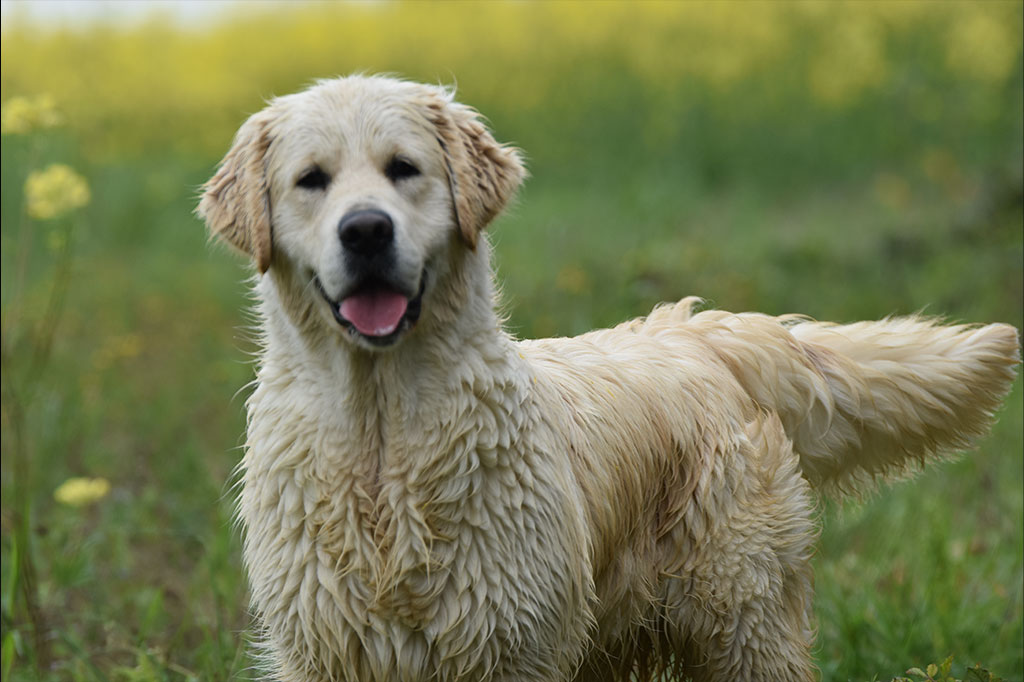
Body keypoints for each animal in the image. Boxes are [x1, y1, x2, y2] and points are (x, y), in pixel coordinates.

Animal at [195, 75, 1019, 679]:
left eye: (404, 169)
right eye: (311, 180)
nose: (365, 229)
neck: (382, 440)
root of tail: (694, 332)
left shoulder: (510, 644)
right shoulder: (327, 648)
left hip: (743, 619)